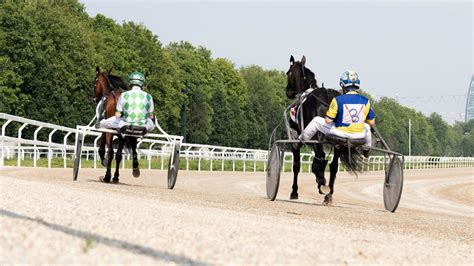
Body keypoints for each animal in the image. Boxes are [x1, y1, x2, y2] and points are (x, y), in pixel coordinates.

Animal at [286, 55, 362, 206]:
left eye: (288, 73)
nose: (288, 91)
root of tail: (328, 96)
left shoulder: (296, 138)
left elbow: (296, 165)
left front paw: (294, 192)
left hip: (318, 136)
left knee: (320, 158)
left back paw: (321, 182)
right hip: (338, 140)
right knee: (333, 166)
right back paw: (328, 195)